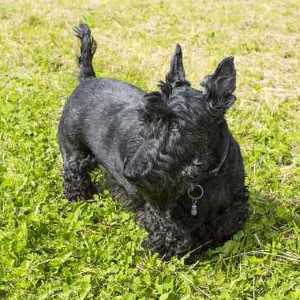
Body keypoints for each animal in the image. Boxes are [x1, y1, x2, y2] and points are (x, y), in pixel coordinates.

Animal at [58, 24, 248, 260]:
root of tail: (87, 79)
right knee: (74, 174)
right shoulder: (159, 209)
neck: (205, 178)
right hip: (73, 152)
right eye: (147, 119)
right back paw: (80, 196)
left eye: (176, 126)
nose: (130, 174)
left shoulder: (235, 202)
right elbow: (174, 234)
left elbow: (226, 224)